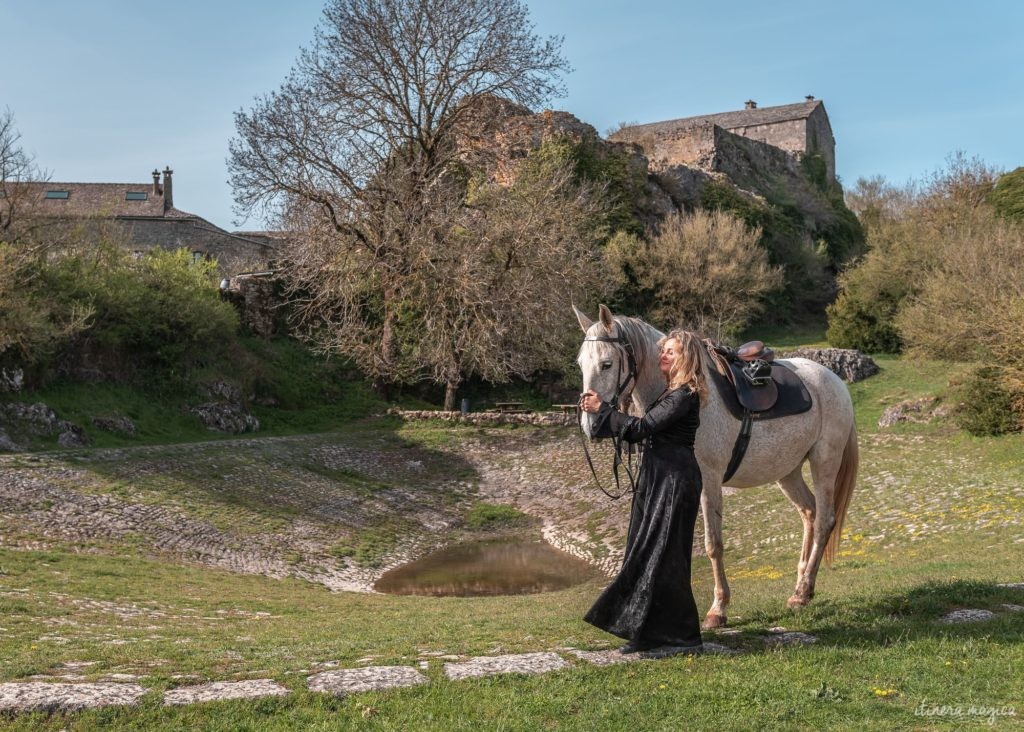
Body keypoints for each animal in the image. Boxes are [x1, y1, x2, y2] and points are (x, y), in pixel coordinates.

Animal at [577, 303, 856, 630]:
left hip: (825, 461)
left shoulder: (708, 481)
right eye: (581, 364)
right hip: (788, 472)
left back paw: (802, 593)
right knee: (809, 513)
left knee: (824, 519)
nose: (591, 425)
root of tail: (834, 380)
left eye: (607, 364)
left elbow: (713, 544)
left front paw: (717, 609)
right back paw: (802, 588)